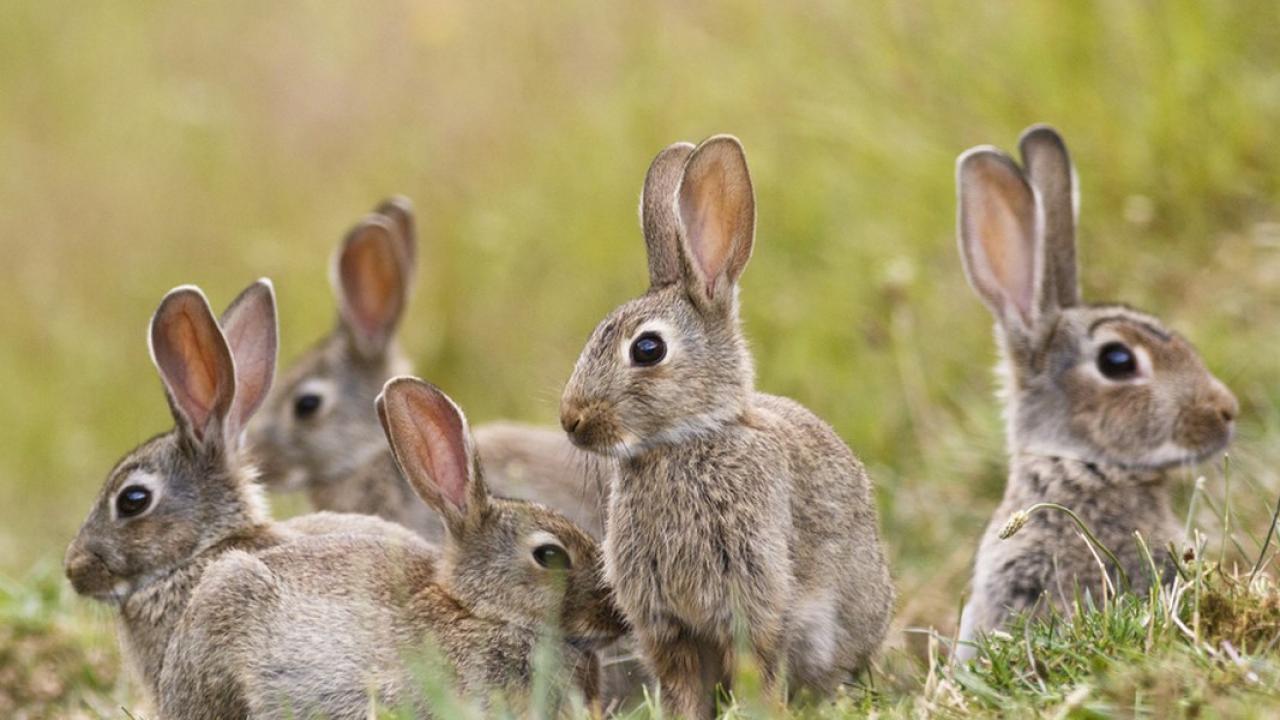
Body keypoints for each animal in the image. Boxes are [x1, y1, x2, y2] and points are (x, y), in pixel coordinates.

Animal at [555, 133, 896, 712]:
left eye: (648, 349)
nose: (571, 419)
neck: (682, 442)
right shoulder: (666, 626)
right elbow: (682, 686)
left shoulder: (755, 599)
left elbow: (758, 667)